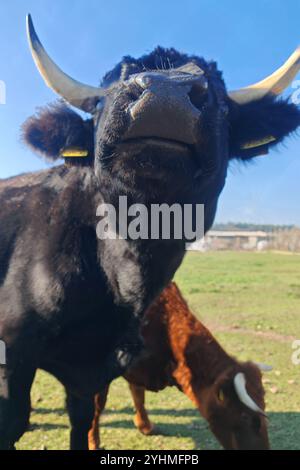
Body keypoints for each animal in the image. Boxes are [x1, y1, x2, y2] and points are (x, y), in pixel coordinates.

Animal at [88, 280, 270, 450]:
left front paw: (145, 426)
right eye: (244, 416)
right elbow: (98, 405)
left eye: (264, 405)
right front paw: (93, 442)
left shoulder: (139, 368)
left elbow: (138, 394)